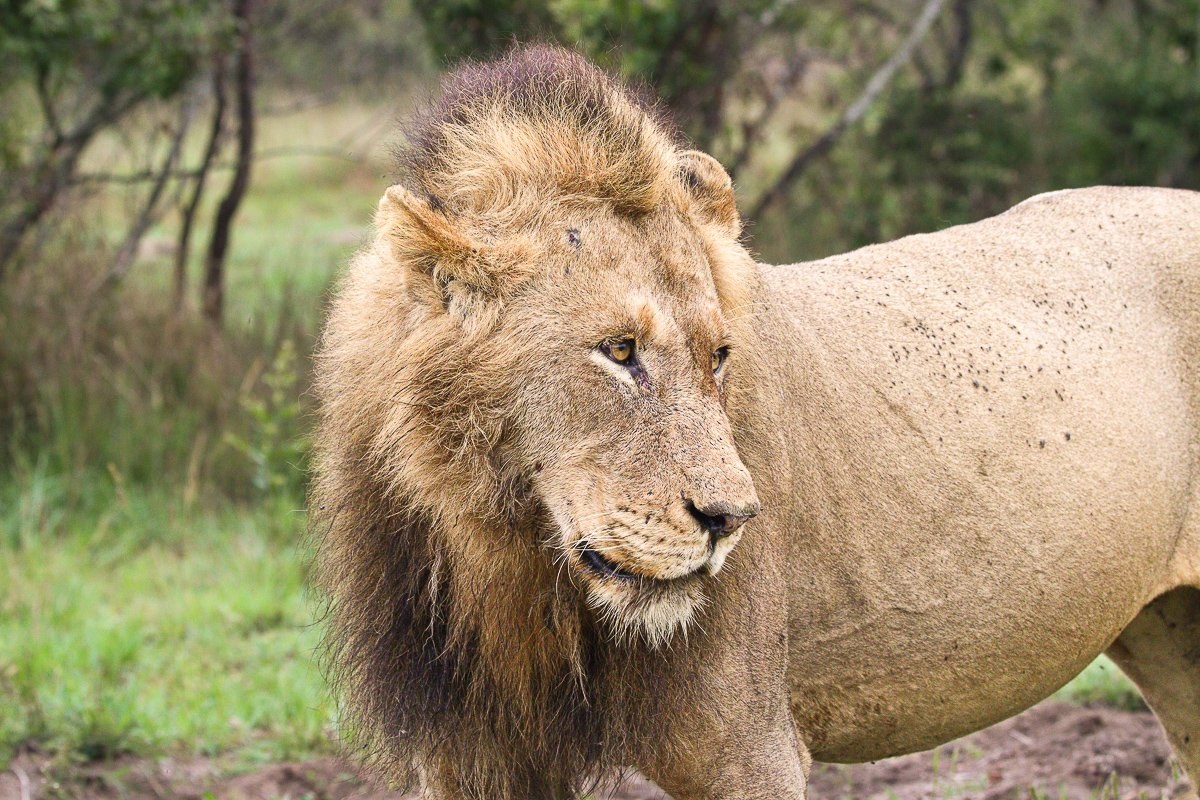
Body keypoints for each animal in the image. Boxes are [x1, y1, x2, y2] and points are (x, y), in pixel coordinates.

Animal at [312, 45, 1200, 799]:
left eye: (720, 354)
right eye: (619, 350)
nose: (731, 519)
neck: (506, 558)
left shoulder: (745, 746)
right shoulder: (470, 756)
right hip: (1168, 635)